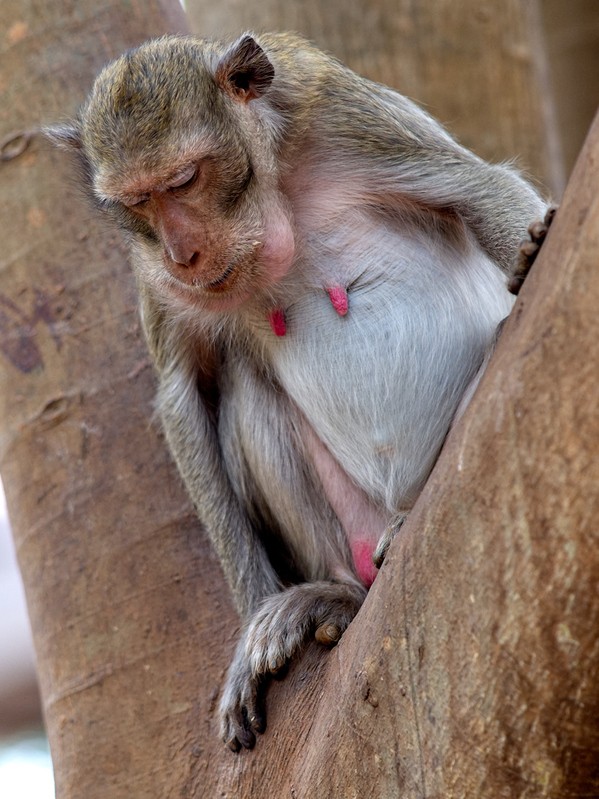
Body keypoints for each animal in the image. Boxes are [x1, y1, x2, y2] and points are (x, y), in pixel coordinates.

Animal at [48, 32, 548, 756]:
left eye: (183, 181)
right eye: (137, 203)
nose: (181, 253)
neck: (271, 196)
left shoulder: (344, 119)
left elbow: (481, 191)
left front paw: (531, 248)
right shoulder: (150, 271)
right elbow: (184, 397)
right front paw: (251, 622)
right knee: (247, 395)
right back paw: (335, 597)